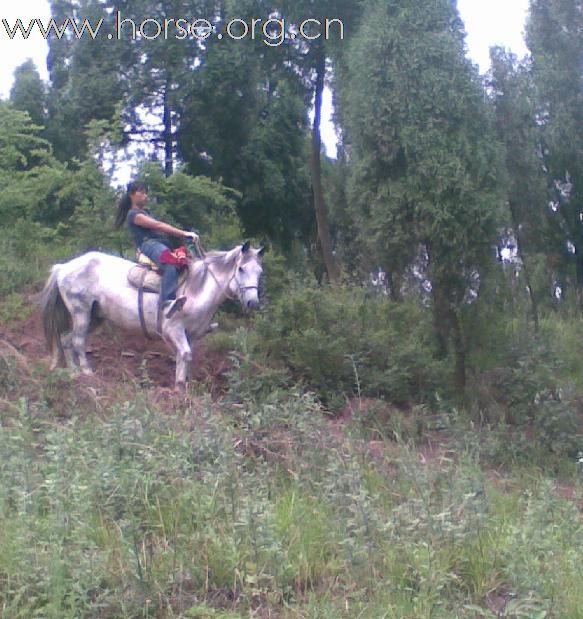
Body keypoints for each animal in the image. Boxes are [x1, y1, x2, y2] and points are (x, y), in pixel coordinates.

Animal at [41, 241, 266, 390]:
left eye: (260, 272)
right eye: (241, 268)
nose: (252, 303)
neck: (197, 289)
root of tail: (63, 267)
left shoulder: (192, 334)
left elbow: (184, 358)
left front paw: (181, 387)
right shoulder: (174, 330)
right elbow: (185, 354)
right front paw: (179, 388)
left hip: (94, 316)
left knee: (67, 340)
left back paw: (74, 373)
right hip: (81, 312)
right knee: (77, 341)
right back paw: (87, 374)